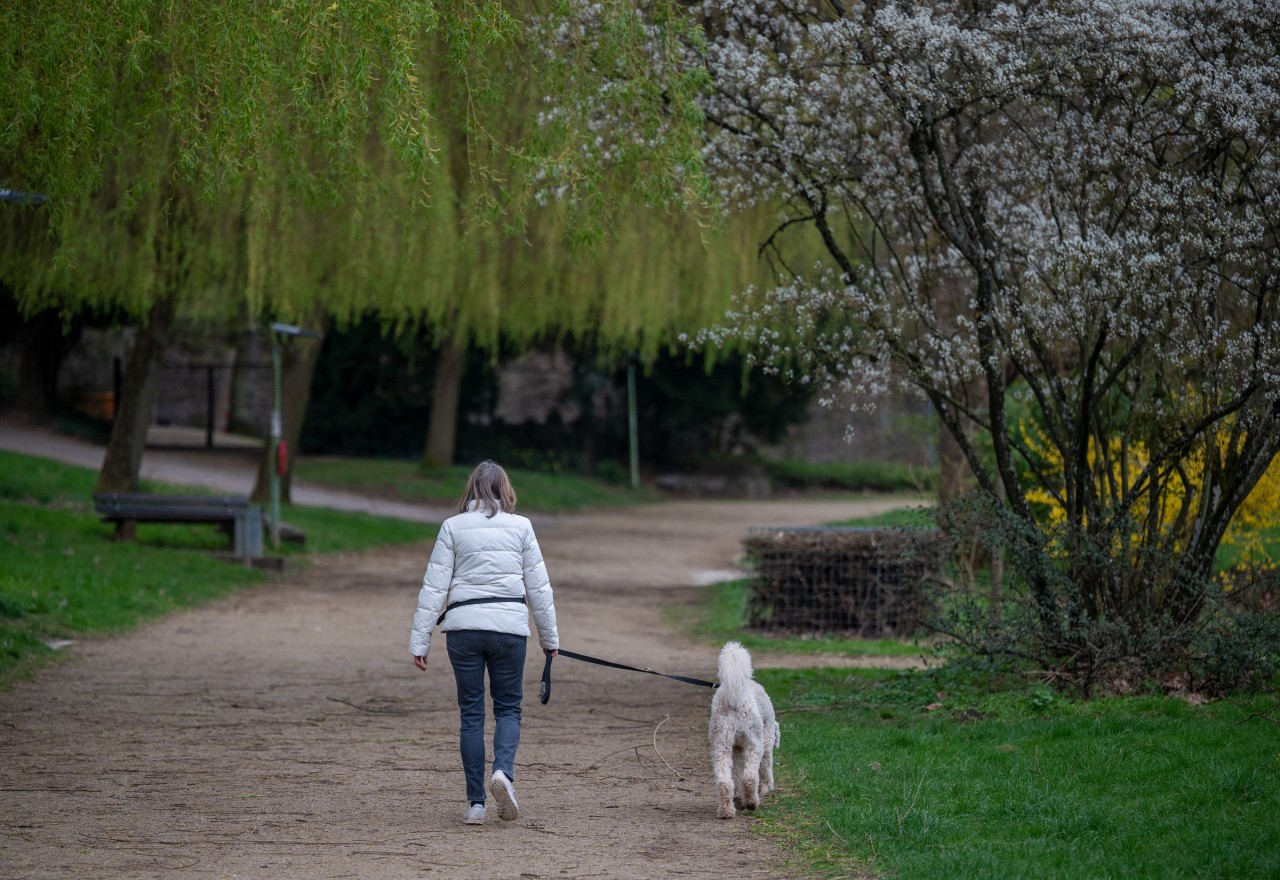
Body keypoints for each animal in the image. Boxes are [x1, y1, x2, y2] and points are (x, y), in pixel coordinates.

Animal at [711, 639, 778, 818]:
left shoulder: (736, 750)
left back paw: (726, 811)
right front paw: (767, 787)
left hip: (721, 745)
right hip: (754, 743)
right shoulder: (766, 741)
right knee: (750, 777)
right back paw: (752, 802)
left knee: (725, 781)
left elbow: (736, 775)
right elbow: (765, 767)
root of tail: (735, 701)